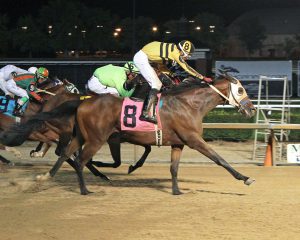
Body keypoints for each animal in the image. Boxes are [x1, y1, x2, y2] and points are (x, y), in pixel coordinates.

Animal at [1, 73, 255, 195]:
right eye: (241, 89)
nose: (252, 109)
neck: (189, 104)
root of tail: (82, 101)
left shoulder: (178, 143)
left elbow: (173, 168)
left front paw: (176, 190)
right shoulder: (193, 139)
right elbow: (219, 158)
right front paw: (245, 178)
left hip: (79, 136)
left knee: (65, 155)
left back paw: (45, 177)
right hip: (96, 138)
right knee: (80, 160)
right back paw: (85, 189)